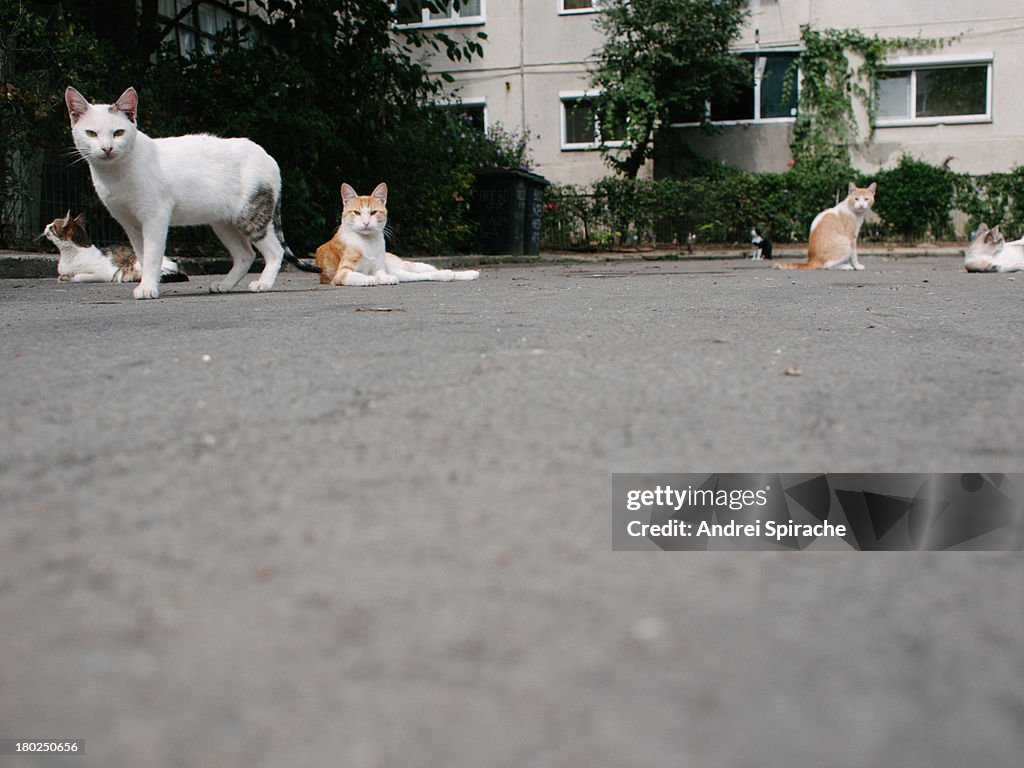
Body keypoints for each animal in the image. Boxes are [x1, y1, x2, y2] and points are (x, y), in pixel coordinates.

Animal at [43, 211, 188, 284]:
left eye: (52, 226)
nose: (45, 225)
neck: (70, 253)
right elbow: (62, 276)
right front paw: (64, 277)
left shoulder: (103, 273)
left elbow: (79, 276)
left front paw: (71, 277)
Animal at [64, 85, 315, 299]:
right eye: (91, 133)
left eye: (118, 133)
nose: (107, 148)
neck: (116, 173)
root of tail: (268, 156)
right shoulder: (129, 223)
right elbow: (142, 256)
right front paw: (149, 283)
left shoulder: (155, 217)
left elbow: (153, 255)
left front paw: (148, 288)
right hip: (224, 222)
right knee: (246, 255)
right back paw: (224, 285)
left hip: (250, 215)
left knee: (275, 251)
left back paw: (263, 283)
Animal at [315, 185, 479, 286]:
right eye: (356, 212)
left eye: (373, 212)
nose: (366, 223)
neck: (368, 243)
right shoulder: (341, 273)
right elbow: (359, 276)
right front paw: (369, 279)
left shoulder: (380, 269)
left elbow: (380, 274)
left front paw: (383, 278)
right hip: (404, 273)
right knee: (425, 275)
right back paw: (449, 275)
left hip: (407, 266)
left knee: (431, 270)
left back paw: (468, 273)